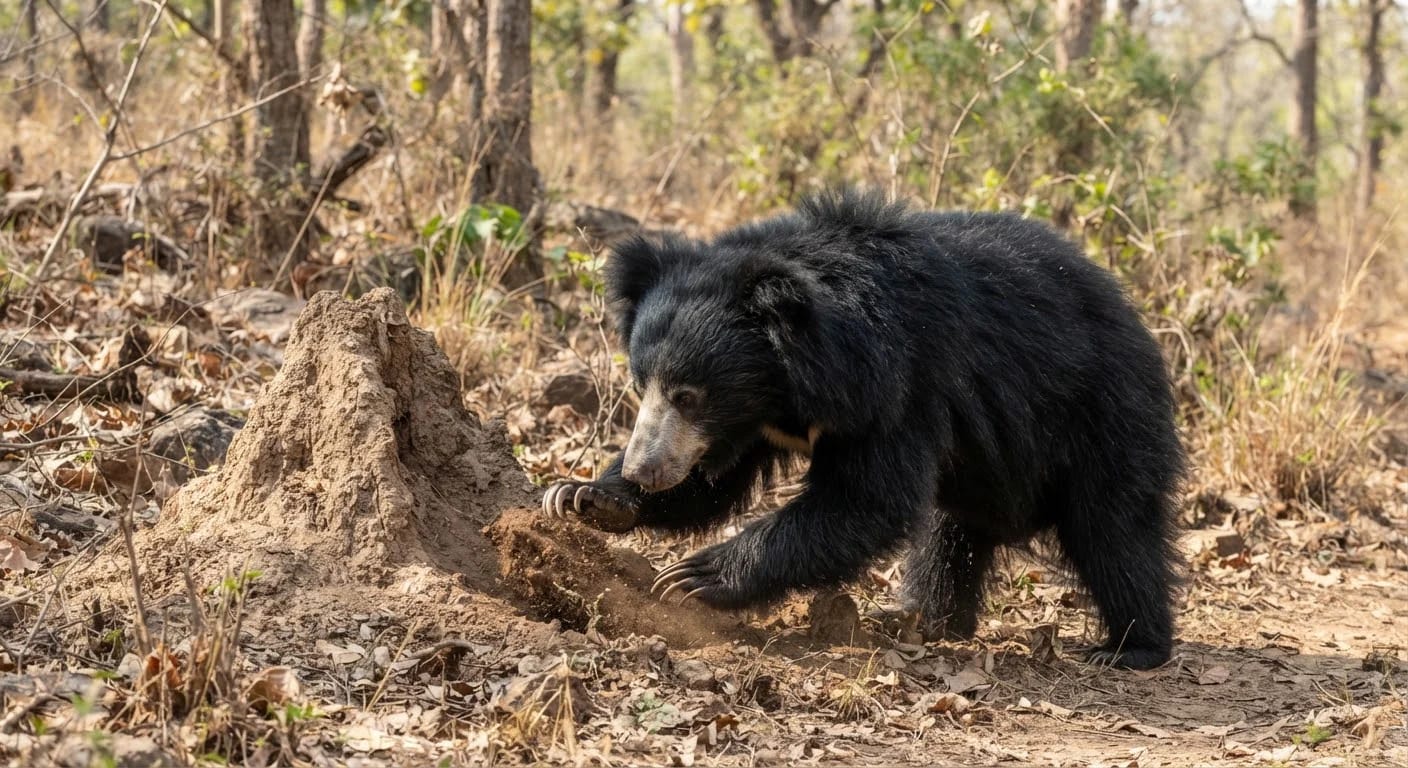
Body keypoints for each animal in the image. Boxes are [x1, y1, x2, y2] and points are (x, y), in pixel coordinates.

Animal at [542, 188, 1185, 670]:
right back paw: (923, 619)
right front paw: (582, 495)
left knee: (1114, 527)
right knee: (951, 537)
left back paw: (1130, 647)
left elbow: (865, 499)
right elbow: (710, 484)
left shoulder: (902, 385)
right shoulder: (752, 421)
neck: (790, 381)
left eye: (688, 395)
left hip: (1103, 414)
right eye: (641, 384)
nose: (644, 470)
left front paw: (692, 577)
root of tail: (1134, 321)